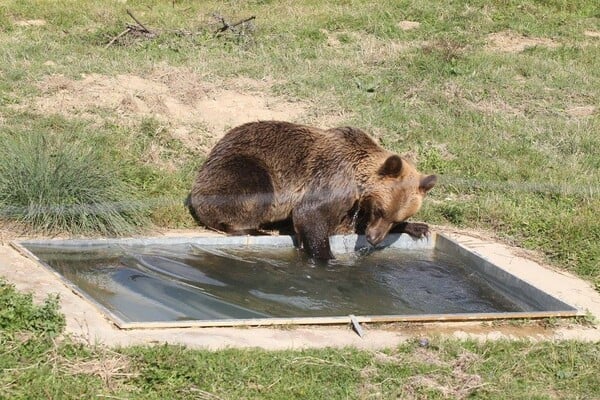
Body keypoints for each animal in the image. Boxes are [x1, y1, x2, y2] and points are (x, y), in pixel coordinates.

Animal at [188, 120, 436, 260]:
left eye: (395, 218)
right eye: (380, 210)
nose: (374, 239)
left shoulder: (353, 206)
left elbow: (348, 224)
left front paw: (418, 227)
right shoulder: (334, 179)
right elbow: (311, 214)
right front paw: (325, 257)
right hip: (241, 167)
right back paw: (257, 230)